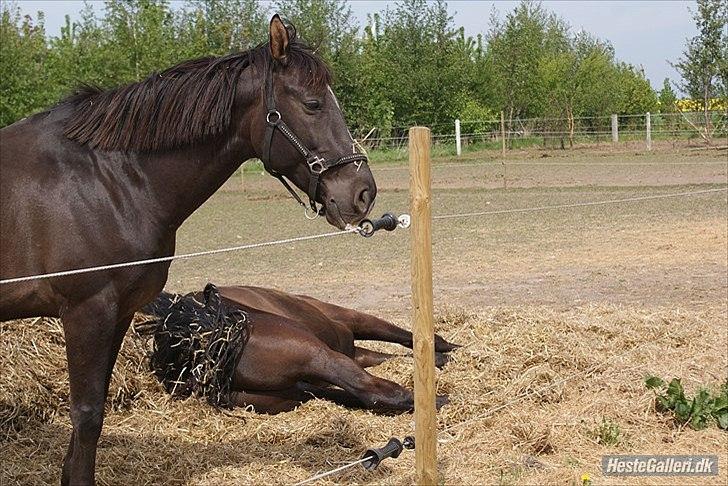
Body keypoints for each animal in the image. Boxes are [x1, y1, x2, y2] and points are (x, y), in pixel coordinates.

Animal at [0, 16, 376, 486]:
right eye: (312, 104)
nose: (363, 193)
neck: (109, 181)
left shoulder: (118, 314)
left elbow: (96, 410)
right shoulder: (87, 313)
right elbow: (86, 415)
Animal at [142, 284, 458, 414]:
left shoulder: (353, 351)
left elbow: (388, 354)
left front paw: (440, 358)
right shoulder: (350, 321)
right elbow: (399, 335)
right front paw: (448, 349)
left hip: (290, 393)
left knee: (353, 394)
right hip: (318, 356)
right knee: (372, 390)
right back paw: (439, 401)